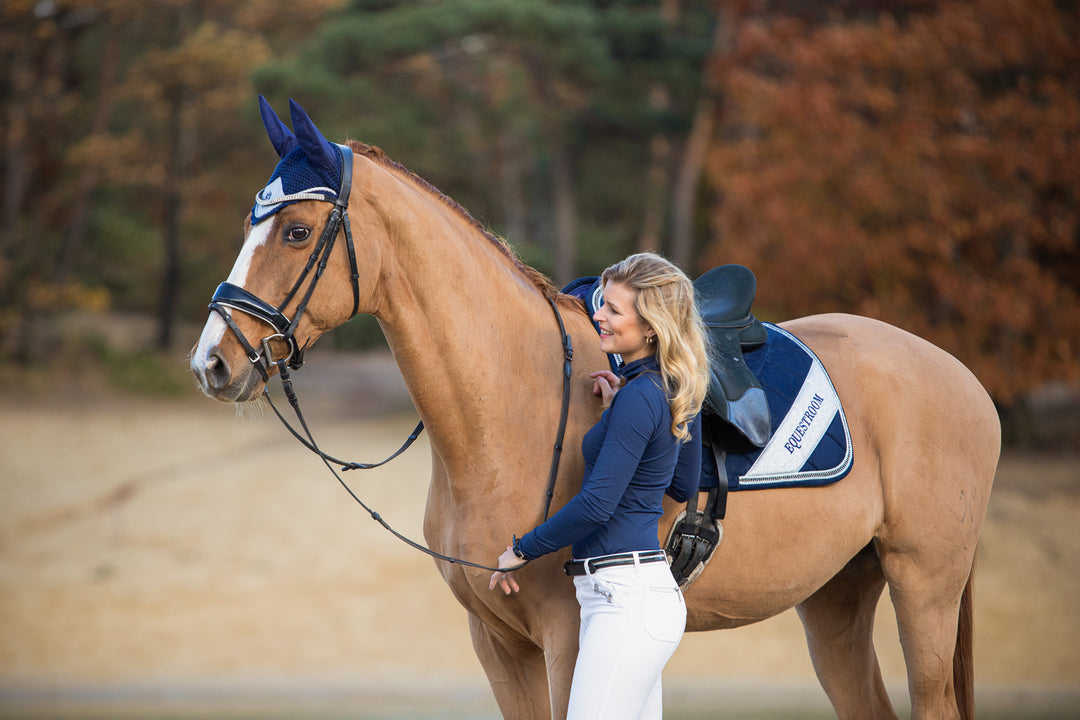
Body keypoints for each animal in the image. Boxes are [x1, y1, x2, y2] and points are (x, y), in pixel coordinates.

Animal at [190, 99, 997, 716]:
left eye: (296, 231)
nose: (213, 362)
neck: (505, 408)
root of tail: (965, 380)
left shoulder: (568, 641)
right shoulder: (499, 646)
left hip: (924, 586)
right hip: (836, 600)